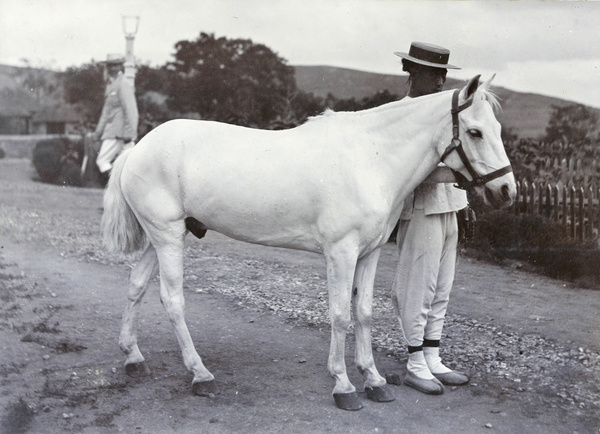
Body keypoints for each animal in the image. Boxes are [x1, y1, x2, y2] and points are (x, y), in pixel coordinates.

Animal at [102, 74, 516, 410]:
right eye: (475, 132)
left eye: (497, 127)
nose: (506, 191)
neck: (371, 157)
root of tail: (138, 148)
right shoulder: (341, 253)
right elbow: (340, 315)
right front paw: (344, 386)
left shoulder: (369, 254)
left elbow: (364, 313)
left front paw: (375, 380)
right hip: (167, 236)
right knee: (172, 300)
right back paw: (200, 374)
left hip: (162, 237)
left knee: (137, 286)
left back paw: (133, 357)